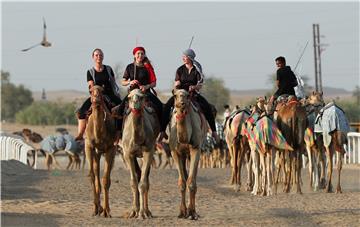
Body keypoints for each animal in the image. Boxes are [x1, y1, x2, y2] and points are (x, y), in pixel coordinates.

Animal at [83, 84, 116, 216]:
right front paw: (96, 208)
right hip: (96, 153)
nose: (96, 99)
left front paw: (106, 211)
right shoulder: (88, 146)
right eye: (91, 91)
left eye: (102, 91)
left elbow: (105, 180)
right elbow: (92, 176)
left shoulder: (110, 148)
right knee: (96, 175)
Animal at [121, 88, 160, 218]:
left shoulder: (148, 152)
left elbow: (142, 183)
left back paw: (147, 211)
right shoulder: (128, 153)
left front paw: (143, 213)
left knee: (146, 179)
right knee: (138, 175)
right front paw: (134, 211)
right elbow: (133, 182)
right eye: (129, 97)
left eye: (142, 96)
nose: (135, 102)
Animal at [169, 89, 208, 220]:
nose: (181, 104)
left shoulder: (195, 149)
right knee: (185, 177)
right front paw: (182, 212)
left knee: (193, 179)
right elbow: (182, 182)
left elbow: (191, 182)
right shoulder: (175, 152)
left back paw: (193, 212)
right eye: (175, 95)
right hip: (184, 155)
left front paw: (192, 213)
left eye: (187, 95)